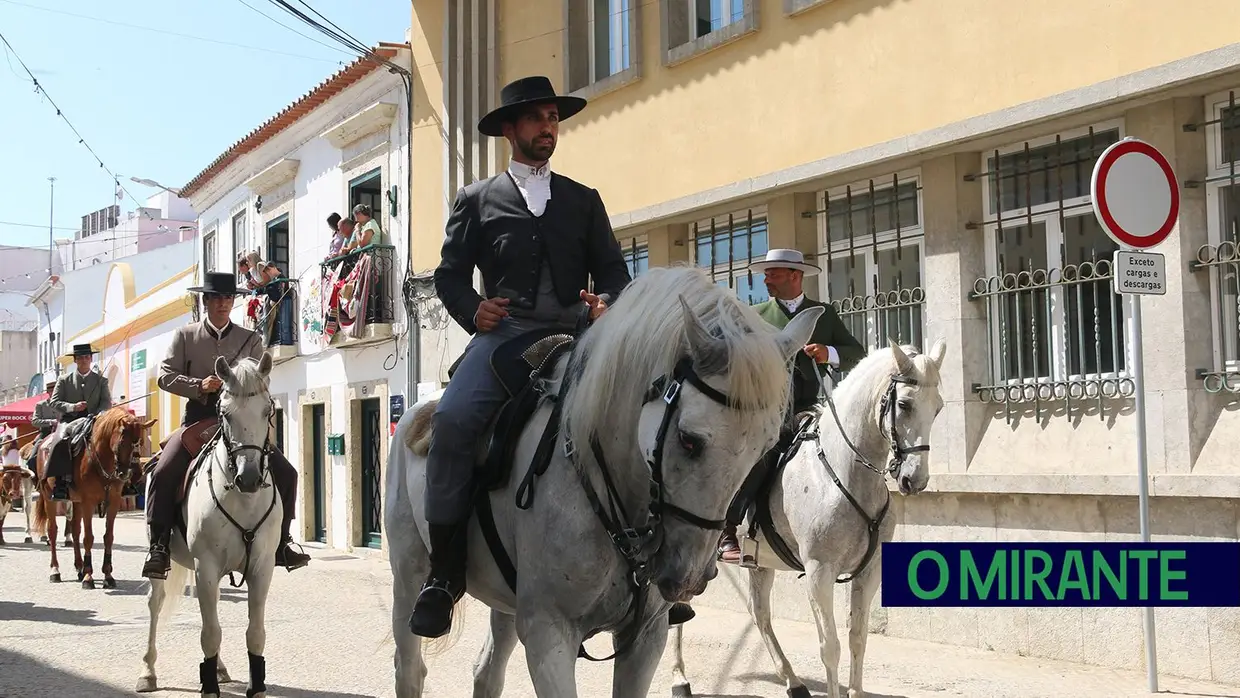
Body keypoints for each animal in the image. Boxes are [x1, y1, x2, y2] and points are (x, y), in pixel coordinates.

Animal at [33, 409, 158, 590]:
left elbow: (108, 537)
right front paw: (88, 576)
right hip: (49, 498)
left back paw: (79, 567)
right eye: (122, 441)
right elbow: (88, 538)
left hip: (76, 501)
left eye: (140, 442)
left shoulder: (113, 502)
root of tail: (44, 443)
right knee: (53, 531)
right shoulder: (88, 502)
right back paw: (55, 571)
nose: (129, 474)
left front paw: (107, 575)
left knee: (75, 531)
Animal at [137, 354, 282, 698]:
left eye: (267, 411)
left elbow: (255, 633)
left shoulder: (262, 568)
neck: (243, 499)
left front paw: (256, 686)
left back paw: (219, 668)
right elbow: (210, 633)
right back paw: (148, 671)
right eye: (225, 413)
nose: (249, 478)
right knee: (155, 605)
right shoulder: (207, 566)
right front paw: (209, 687)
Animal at [381, 264, 818, 698]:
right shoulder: (548, 635)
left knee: (486, 672)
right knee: (409, 668)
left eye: (765, 450)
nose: (689, 577)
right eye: (689, 440)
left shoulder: (646, 637)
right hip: (407, 576)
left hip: (505, 602)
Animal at [669, 339, 947, 698]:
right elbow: (830, 647)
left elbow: (857, 639)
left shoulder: (869, 571)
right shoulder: (819, 571)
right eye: (905, 404)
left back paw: (793, 681)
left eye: (938, 408)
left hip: (757, 565)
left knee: (758, 614)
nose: (916, 480)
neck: (842, 472)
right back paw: (679, 677)